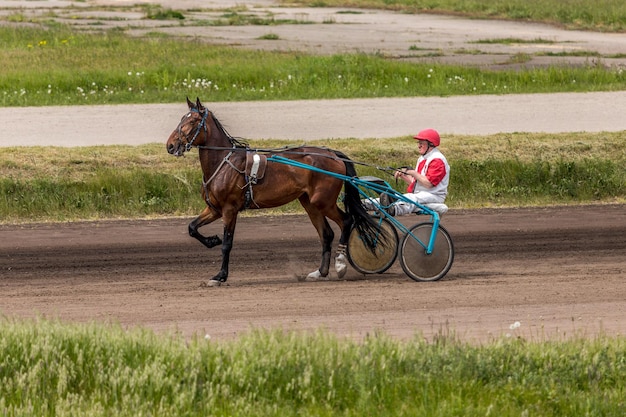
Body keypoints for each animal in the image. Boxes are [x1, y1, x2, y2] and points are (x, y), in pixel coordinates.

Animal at [166, 97, 378, 286]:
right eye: (181, 119)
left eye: (192, 121)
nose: (170, 145)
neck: (224, 163)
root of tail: (334, 154)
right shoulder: (215, 209)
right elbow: (192, 228)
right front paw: (212, 240)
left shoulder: (229, 209)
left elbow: (227, 244)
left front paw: (220, 276)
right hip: (309, 202)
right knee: (326, 234)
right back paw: (320, 272)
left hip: (323, 201)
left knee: (346, 221)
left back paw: (340, 264)